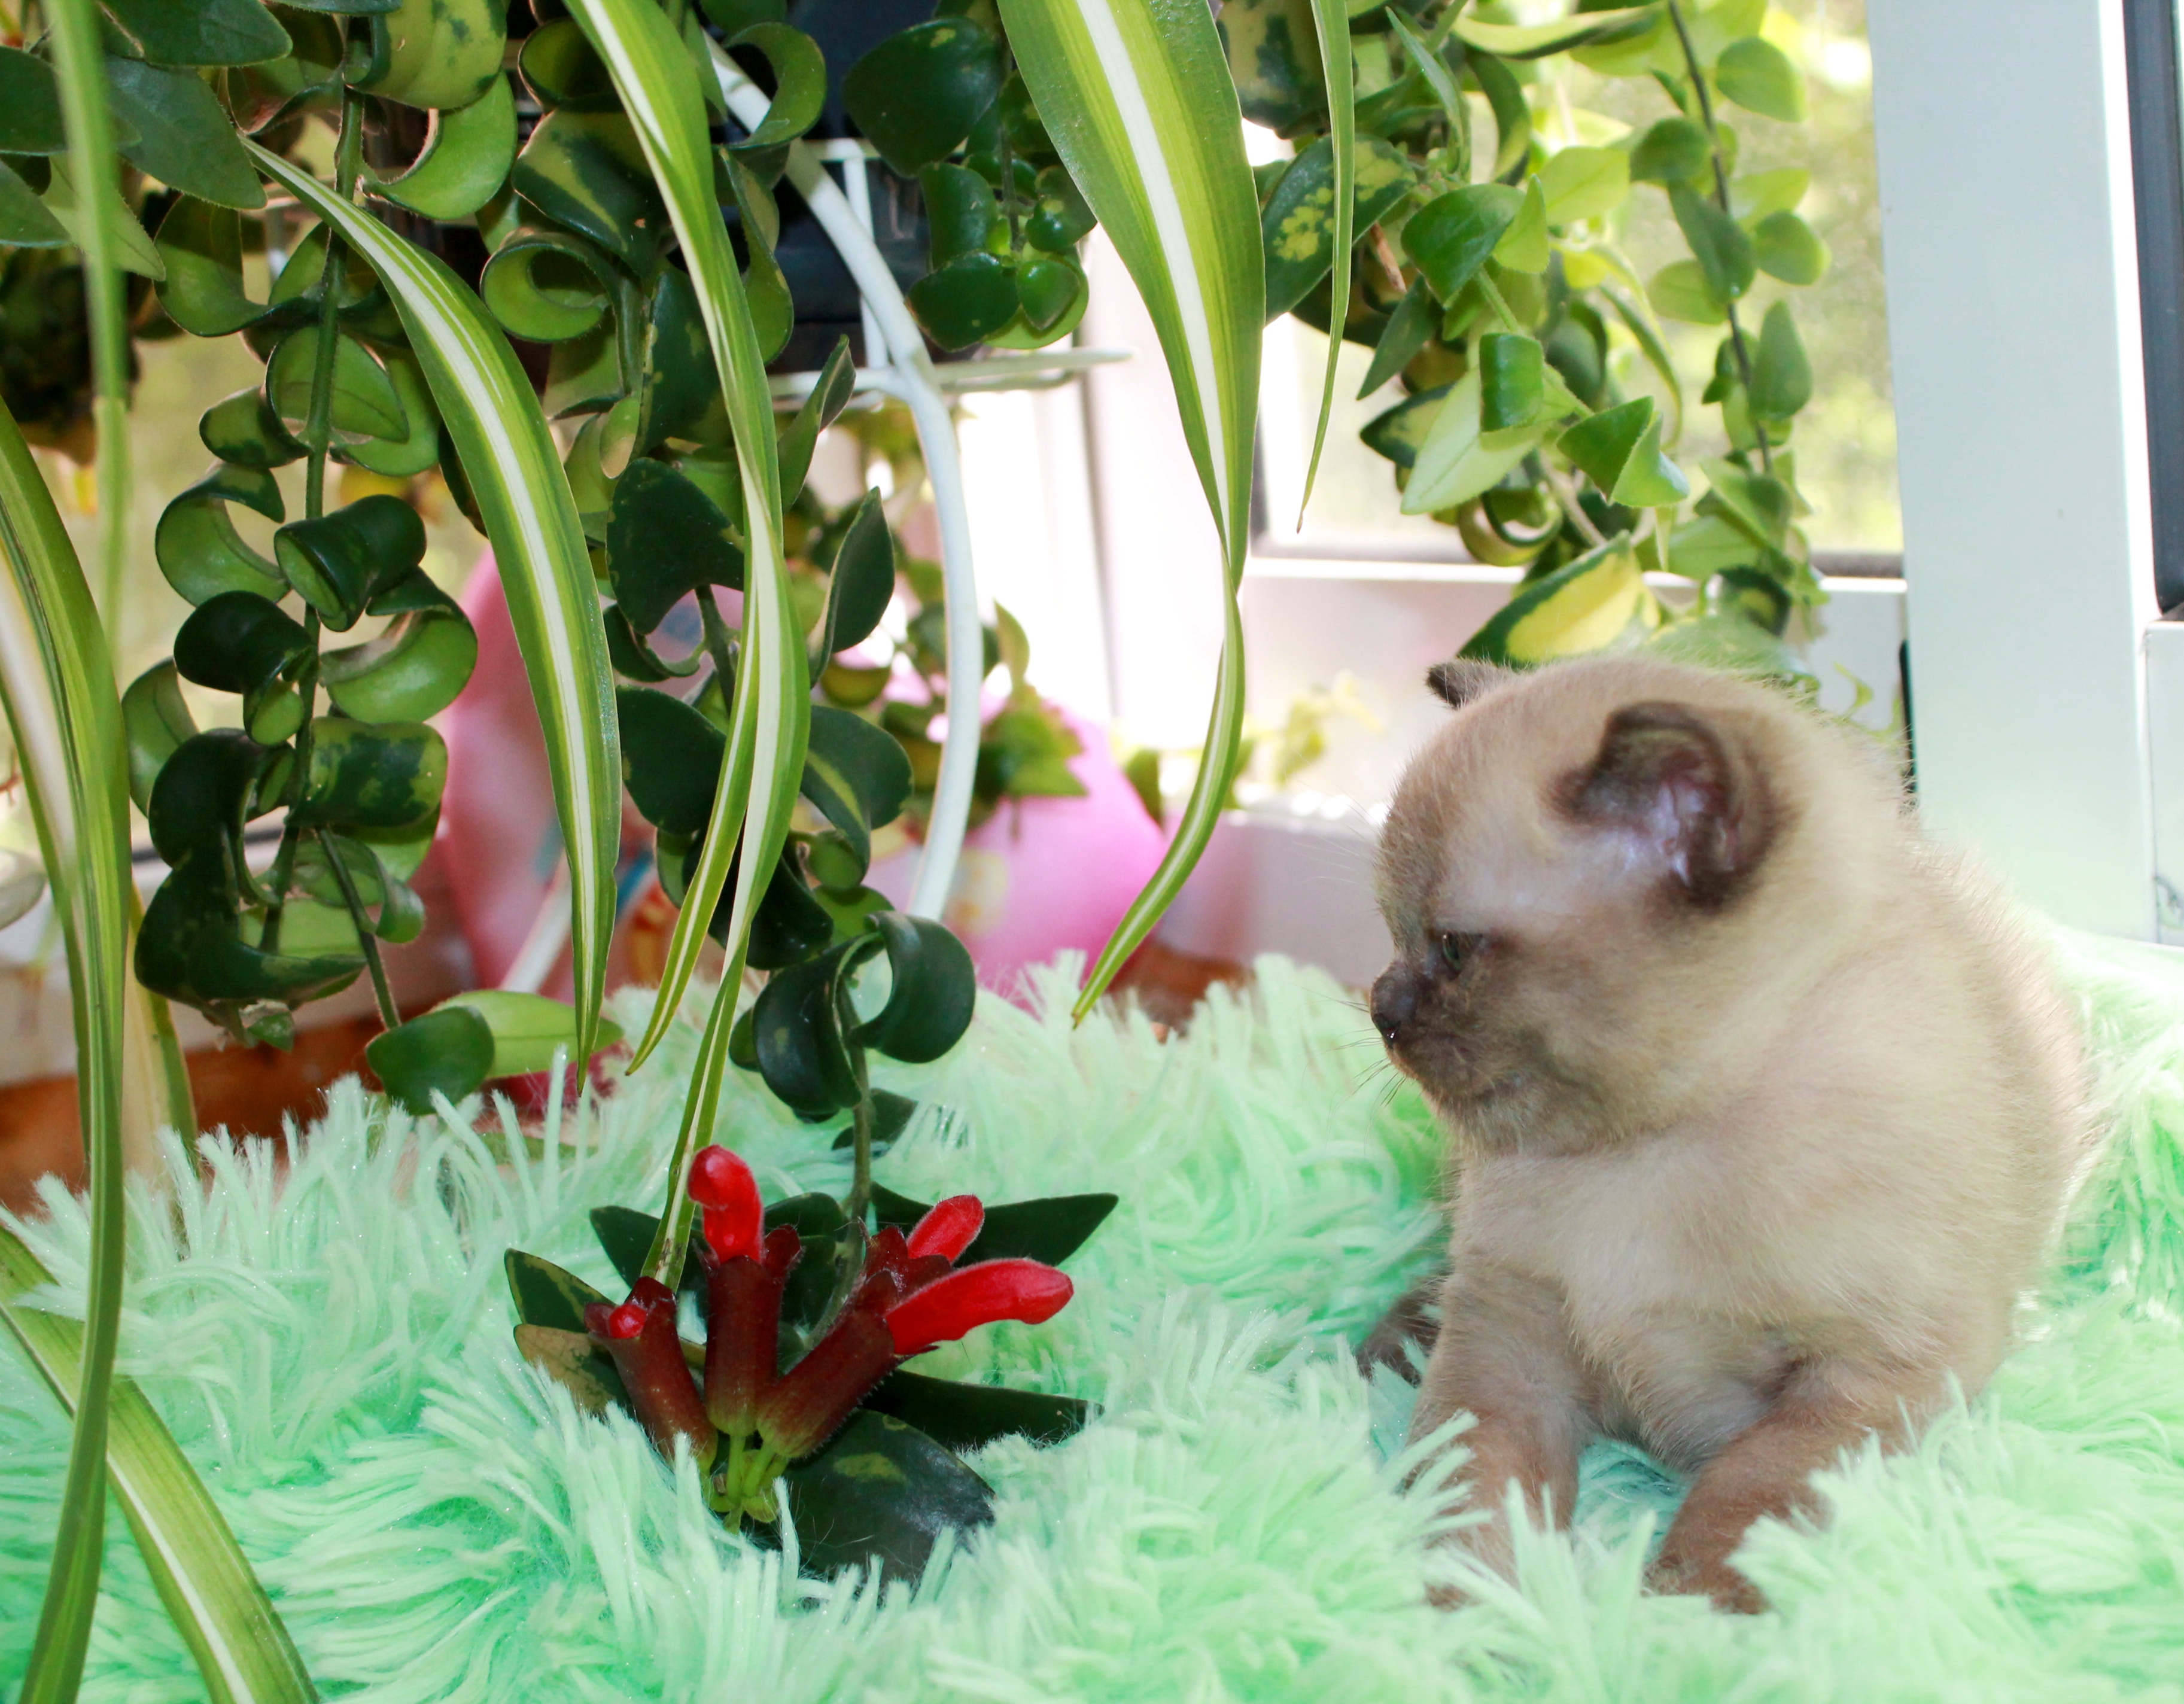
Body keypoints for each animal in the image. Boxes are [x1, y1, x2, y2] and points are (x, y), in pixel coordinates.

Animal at [1369, 654, 2089, 1612]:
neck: (1646, 1150)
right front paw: (1479, 1617)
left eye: (1452, 950)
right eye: (1391, 934)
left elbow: (1749, 1488)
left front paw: (1686, 1616)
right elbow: (1474, 1489)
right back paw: (1392, 1341)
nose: (1380, 1007)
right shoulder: (1508, 1343)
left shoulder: (1865, 1376)